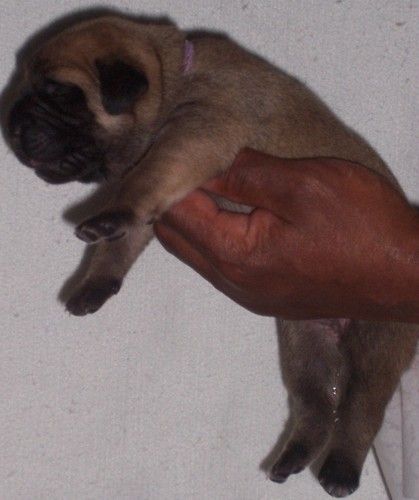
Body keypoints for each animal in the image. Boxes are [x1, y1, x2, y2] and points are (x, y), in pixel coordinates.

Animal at [7, 14, 418, 497]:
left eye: (60, 93)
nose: (15, 127)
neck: (174, 77)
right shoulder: (165, 196)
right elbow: (122, 240)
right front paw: (96, 280)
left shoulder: (195, 133)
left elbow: (141, 186)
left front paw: (109, 216)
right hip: (305, 342)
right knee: (316, 404)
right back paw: (294, 456)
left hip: (378, 341)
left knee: (363, 406)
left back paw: (340, 469)